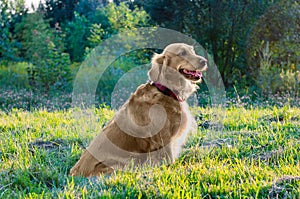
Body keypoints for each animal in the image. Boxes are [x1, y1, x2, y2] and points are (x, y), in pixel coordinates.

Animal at [70, 42, 206, 176]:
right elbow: (169, 161)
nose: (204, 61)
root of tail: (74, 171)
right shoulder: (164, 139)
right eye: (182, 53)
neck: (165, 91)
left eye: (192, 51)